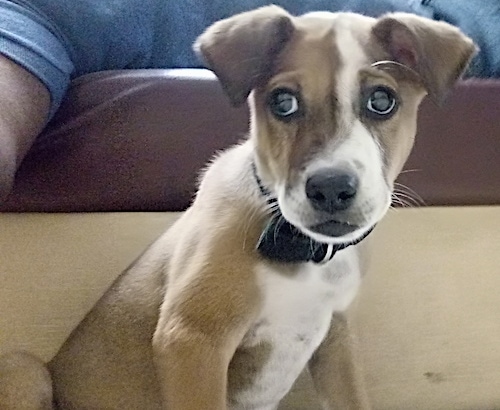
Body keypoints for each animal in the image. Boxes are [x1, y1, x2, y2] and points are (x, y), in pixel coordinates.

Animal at [0, 6, 474, 410]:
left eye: (382, 100)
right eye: (283, 102)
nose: (331, 189)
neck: (298, 250)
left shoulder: (337, 338)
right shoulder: (193, 339)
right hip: (26, 370)